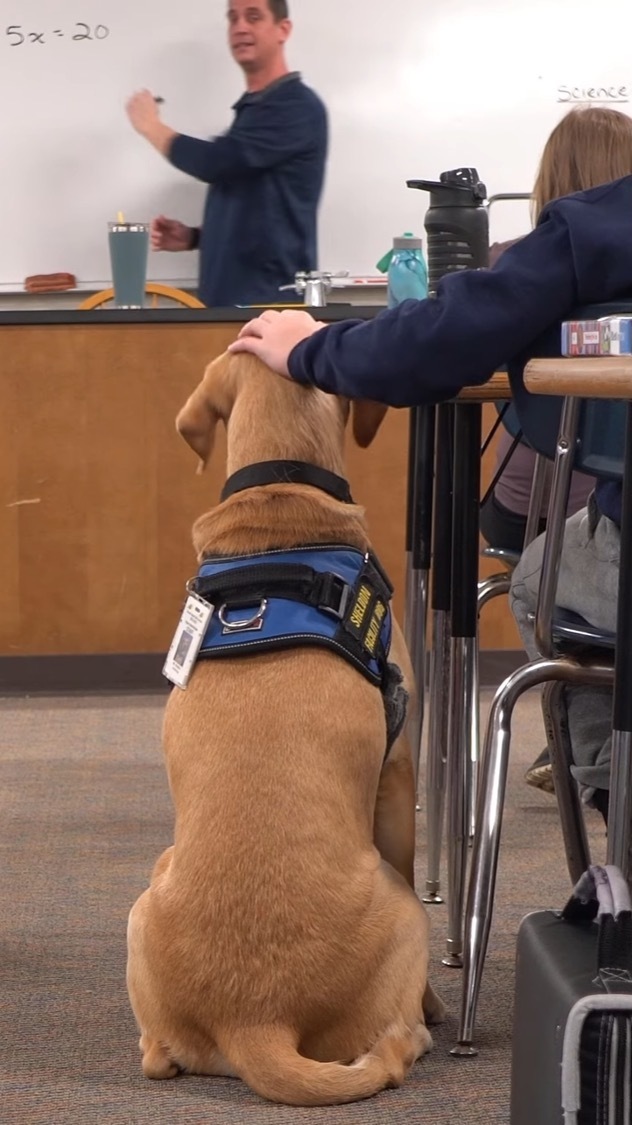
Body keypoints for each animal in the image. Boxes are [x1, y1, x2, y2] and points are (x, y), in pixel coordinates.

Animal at [126, 353, 443, 1107]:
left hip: (145, 899)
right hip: (405, 912)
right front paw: (438, 1004)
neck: (281, 495)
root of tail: (254, 1019)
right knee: (388, 1048)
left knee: (156, 1056)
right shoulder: (398, 769)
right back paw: (414, 1034)